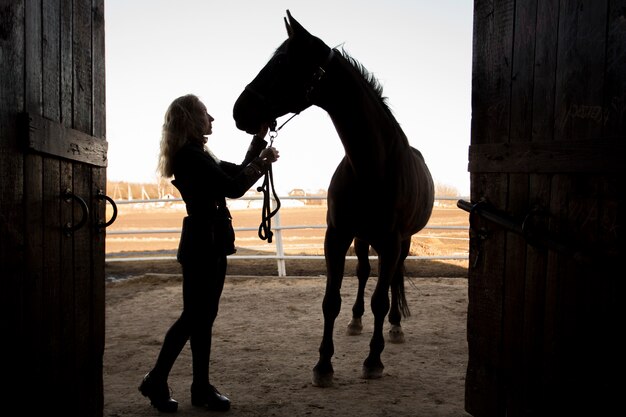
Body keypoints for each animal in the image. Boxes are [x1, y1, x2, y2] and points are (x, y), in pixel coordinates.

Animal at [232, 10, 432, 386]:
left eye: (282, 63)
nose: (240, 110)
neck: (371, 166)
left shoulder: (391, 242)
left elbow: (381, 301)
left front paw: (373, 360)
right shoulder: (336, 237)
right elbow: (331, 301)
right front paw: (323, 364)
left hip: (400, 242)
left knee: (392, 279)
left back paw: (395, 327)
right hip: (362, 238)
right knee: (365, 273)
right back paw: (355, 320)